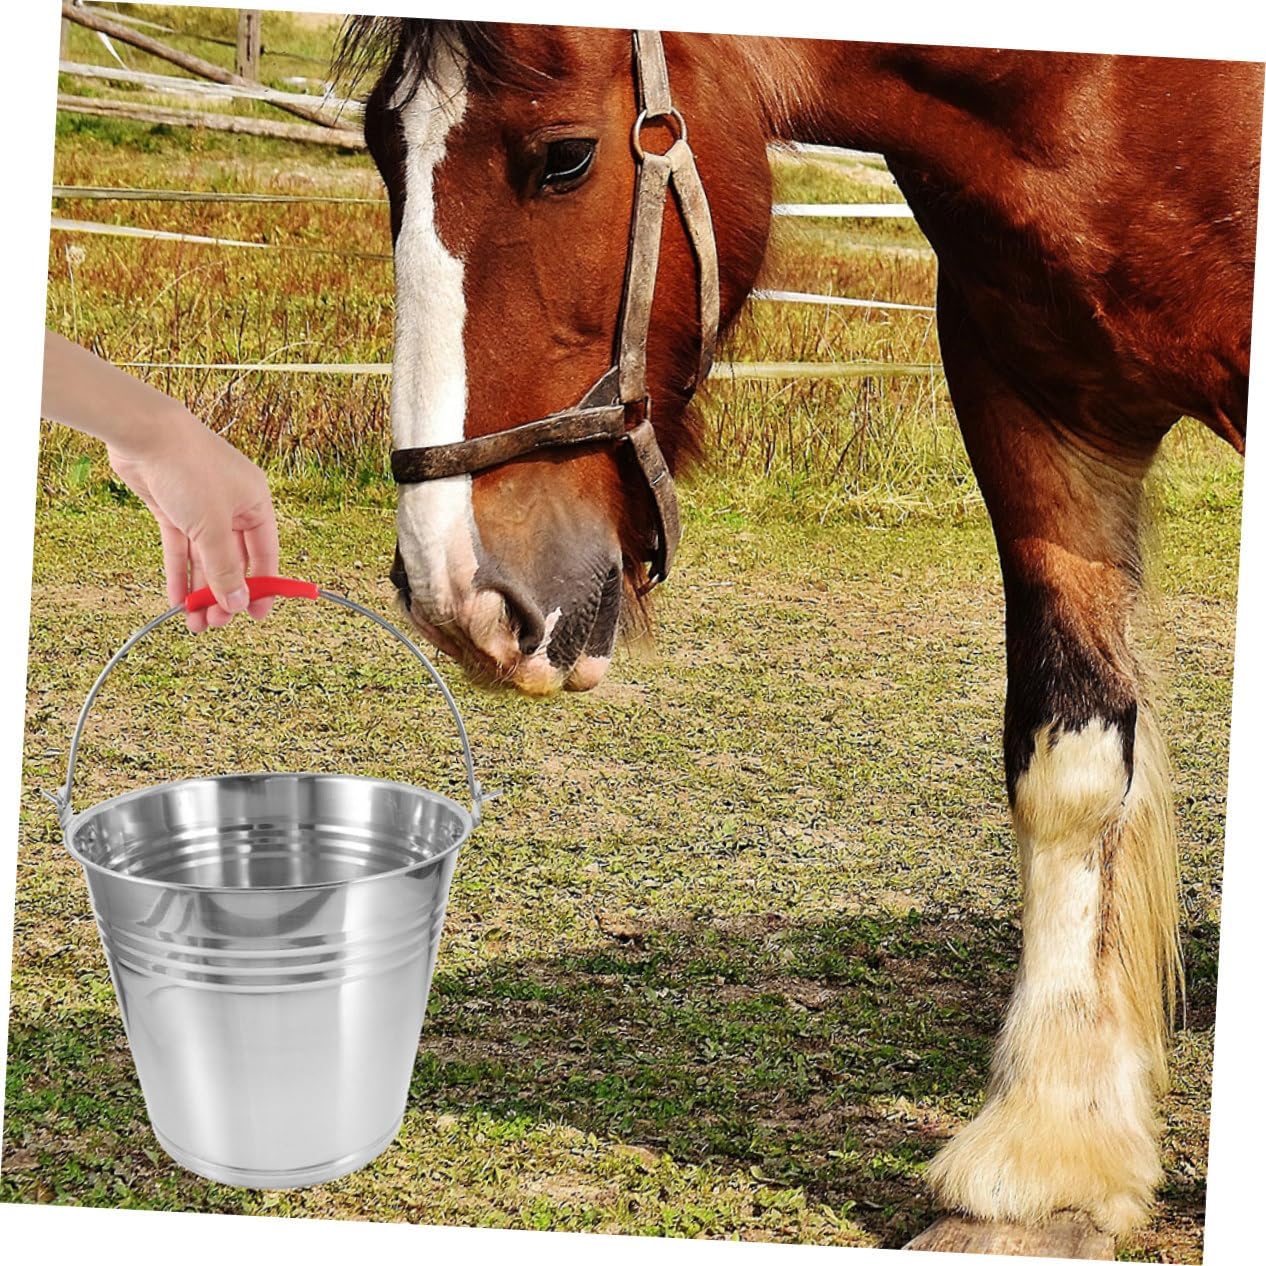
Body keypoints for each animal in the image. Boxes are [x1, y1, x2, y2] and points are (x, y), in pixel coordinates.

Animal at [336, 17, 1261, 1258]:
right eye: (383, 148)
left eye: (565, 157)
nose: (455, 596)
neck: (1115, 87)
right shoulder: (1038, 409)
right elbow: (1071, 764)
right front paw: (1051, 1159)